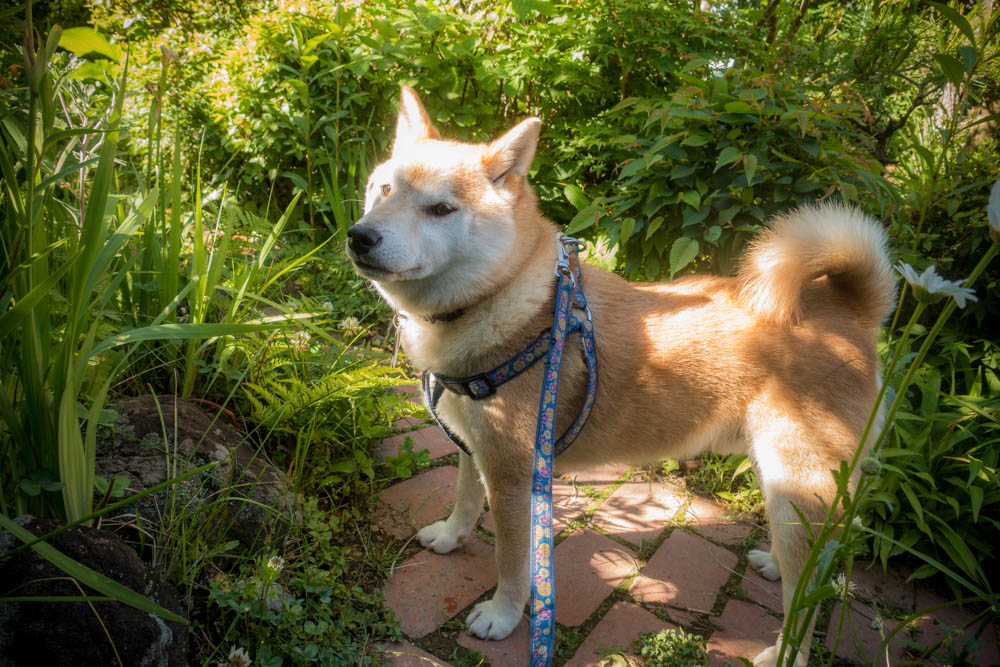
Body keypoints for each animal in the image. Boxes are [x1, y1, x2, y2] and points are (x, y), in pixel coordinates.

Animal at [348, 88, 896, 667]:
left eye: (440, 209)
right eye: (385, 189)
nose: (360, 236)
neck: (503, 304)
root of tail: (849, 310)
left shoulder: (515, 475)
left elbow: (514, 564)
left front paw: (502, 616)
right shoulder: (475, 448)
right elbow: (464, 501)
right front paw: (452, 537)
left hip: (796, 483)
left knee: (810, 590)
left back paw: (784, 651)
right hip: (789, 489)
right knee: (815, 560)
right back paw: (773, 563)